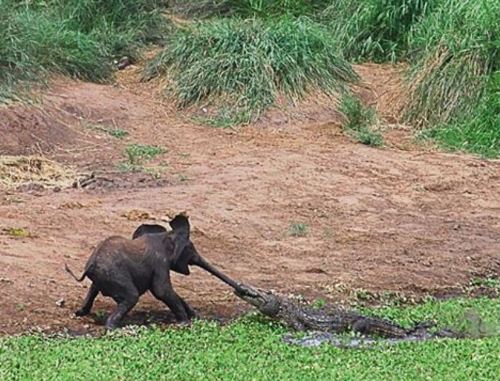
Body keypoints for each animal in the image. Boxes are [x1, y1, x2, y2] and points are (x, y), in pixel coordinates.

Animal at [66, 214, 244, 326]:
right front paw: (185, 323)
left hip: (103, 276)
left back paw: (80, 313)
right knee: (132, 296)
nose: (242, 289)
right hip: (114, 275)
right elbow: (162, 291)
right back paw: (113, 328)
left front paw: (196, 317)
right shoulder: (160, 262)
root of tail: (89, 265)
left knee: (94, 289)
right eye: (190, 248)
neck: (166, 235)